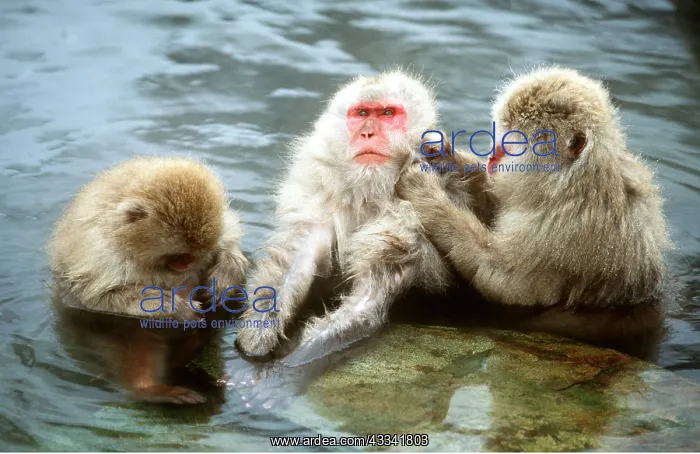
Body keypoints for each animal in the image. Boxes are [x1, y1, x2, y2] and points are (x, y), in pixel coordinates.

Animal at [48, 156, 248, 403]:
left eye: (195, 254)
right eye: (180, 255)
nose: (187, 264)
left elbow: (231, 248)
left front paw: (223, 276)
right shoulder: (100, 256)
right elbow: (101, 298)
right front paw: (177, 308)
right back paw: (149, 388)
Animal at [234, 70, 481, 366]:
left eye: (388, 113)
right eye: (362, 113)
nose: (367, 133)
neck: (372, 191)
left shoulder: (409, 215)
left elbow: (369, 297)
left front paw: (288, 365)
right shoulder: (320, 187)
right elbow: (296, 260)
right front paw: (256, 340)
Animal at [396, 67, 672, 357]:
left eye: (514, 139)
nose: (494, 155)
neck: (573, 181)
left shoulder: (561, 229)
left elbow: (503, 281)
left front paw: (427, 193)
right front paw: (446, 156)